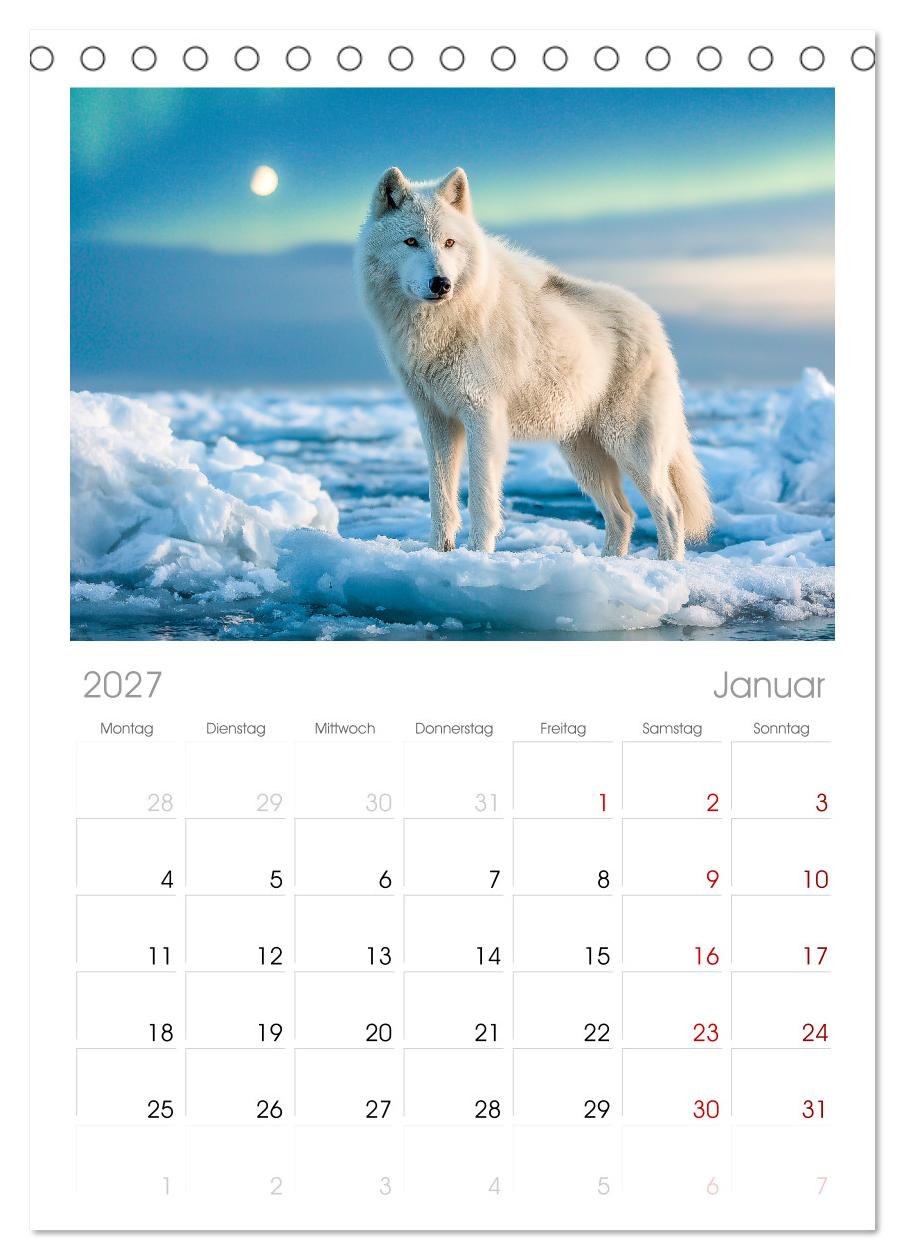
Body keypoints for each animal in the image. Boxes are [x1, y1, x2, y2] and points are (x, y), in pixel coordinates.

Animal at [355, 166, 713, 558]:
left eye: (449, 243)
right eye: (411, 242)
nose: (441, 283)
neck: (443, 325)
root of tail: (654, 322)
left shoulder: (483, 415)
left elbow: (481, 500)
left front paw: (477, 556)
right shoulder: (435, 420)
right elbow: (441, 500)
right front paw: (439, 554)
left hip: (630, 448)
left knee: (671, 511)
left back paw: (666, 566)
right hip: (582, 456)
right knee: (624, 515)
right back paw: (609, 564)